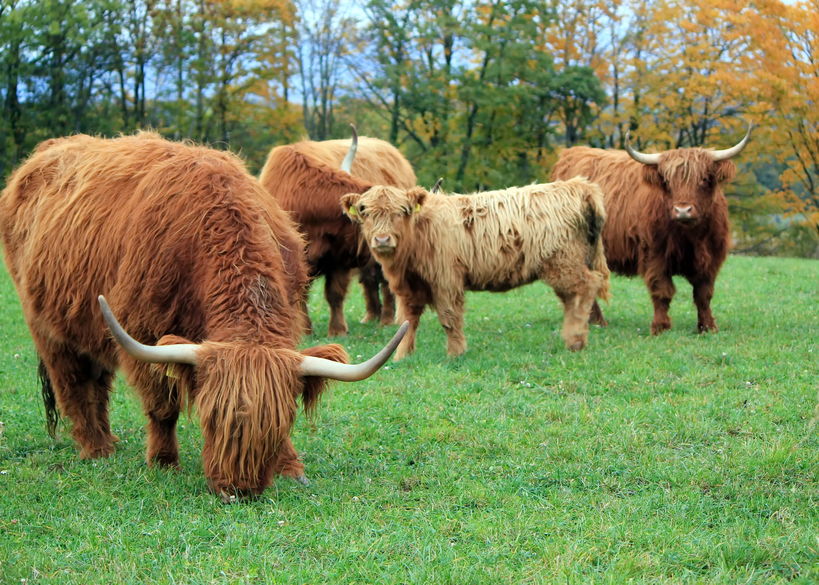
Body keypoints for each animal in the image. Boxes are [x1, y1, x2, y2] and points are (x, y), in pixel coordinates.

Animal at [0, 133, 408, 502]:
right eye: (210, 417)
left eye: (278, 423)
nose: (237, 491)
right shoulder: (142, 333)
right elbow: (162, 405)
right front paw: (163, 462)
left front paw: (291, 467)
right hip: (47, 326)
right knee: (72, 383)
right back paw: (96, 447)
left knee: (96, 384)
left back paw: (108, 438)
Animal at [338, 177, 608, 360]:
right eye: (364, 212)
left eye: (401, 211)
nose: (382, 239)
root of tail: (577, 185)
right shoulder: (408, 287)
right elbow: (407, 321)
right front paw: (401, 356)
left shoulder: (446, 280)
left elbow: (449, 318)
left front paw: (455, 353)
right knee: (572, 299)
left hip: (563, 264)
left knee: (587, 286)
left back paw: (575, 341)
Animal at [552, 124, 748, 334]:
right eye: (668, 182)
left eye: (704, 179)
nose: (683, 210)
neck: (690, 237)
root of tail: (569, 155)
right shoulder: (654, 256)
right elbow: (662, 291)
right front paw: (660, 327)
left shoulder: (710, 260)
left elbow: (704, 294)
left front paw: (708, 327)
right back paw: (593, 321)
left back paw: (595, 321)